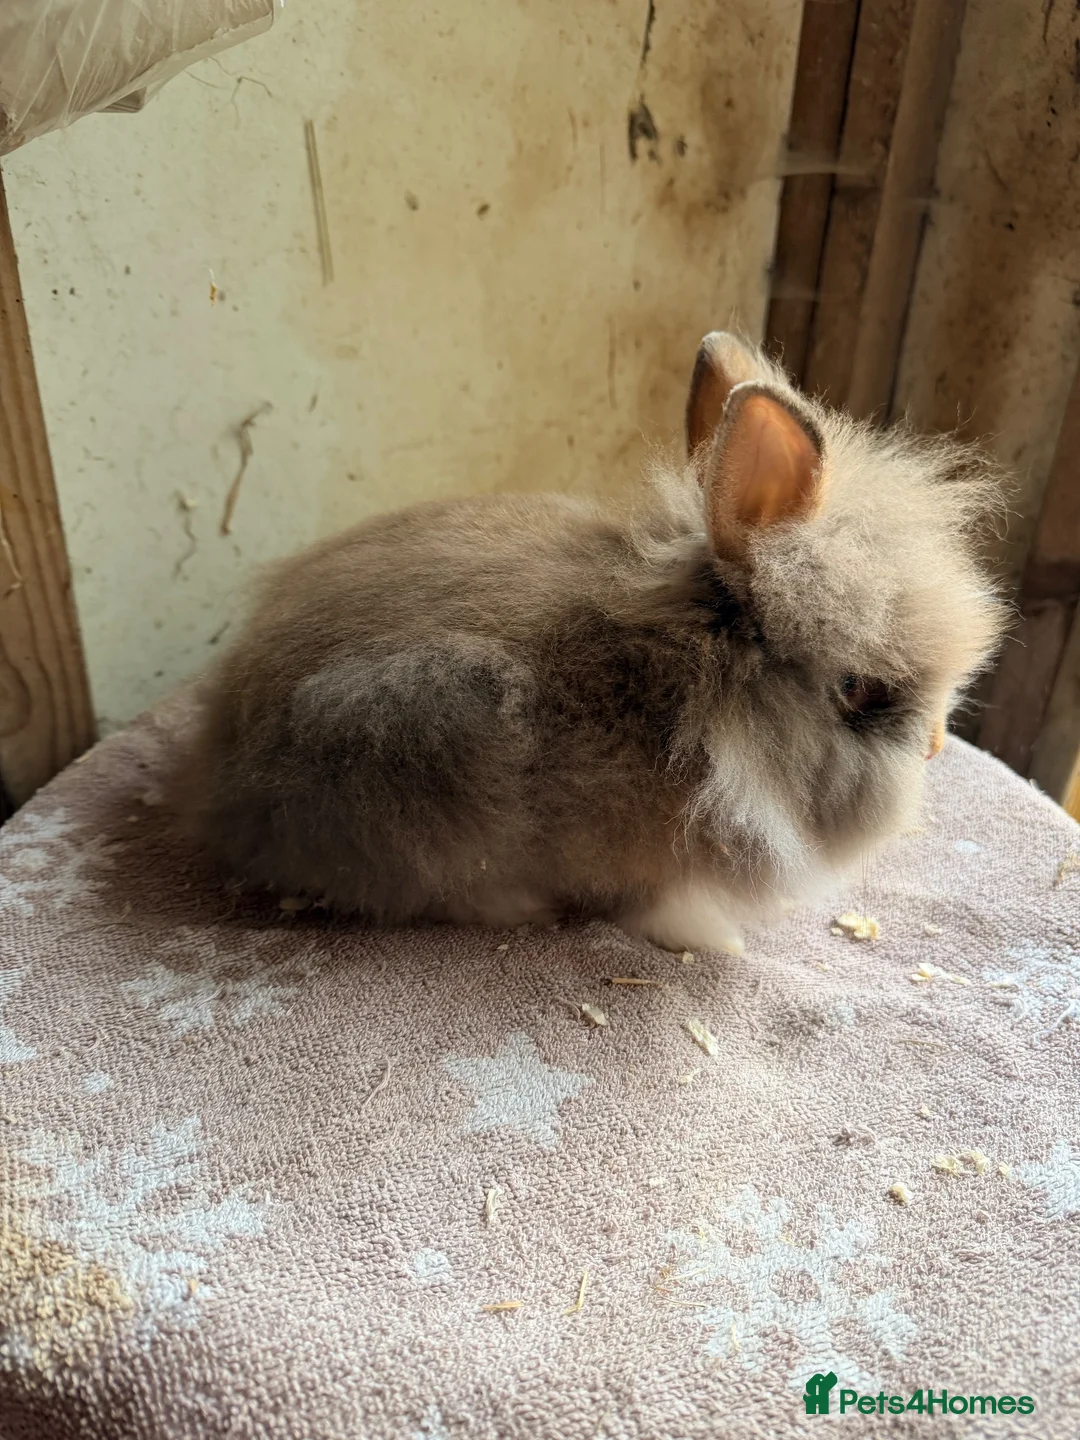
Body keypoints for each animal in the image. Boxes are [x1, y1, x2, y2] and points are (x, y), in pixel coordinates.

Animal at [180, 331, 1005, 953]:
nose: (936, 747)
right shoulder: (647, 868)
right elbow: (659, 908)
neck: (702, 695)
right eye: (858, 689)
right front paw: (717, 941)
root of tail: (222, 774)